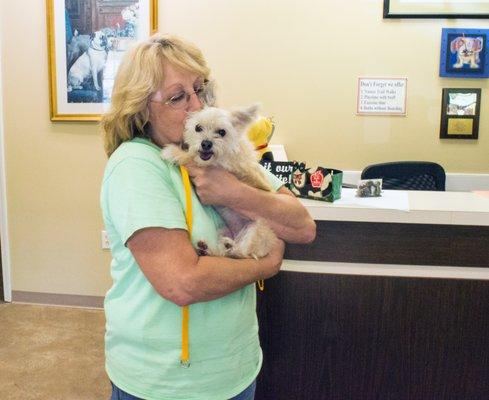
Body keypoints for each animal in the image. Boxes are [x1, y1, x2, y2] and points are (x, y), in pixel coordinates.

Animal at [162, 104, 276, 260]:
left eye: (222, 132)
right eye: (198, 128)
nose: (206, 143)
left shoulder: (223, 165)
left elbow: (191, 158)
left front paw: (173, 152)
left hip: (257, 231)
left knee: (244, 254)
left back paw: (231, 248)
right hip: (223, 230)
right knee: (222, 252)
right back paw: (209, 248)